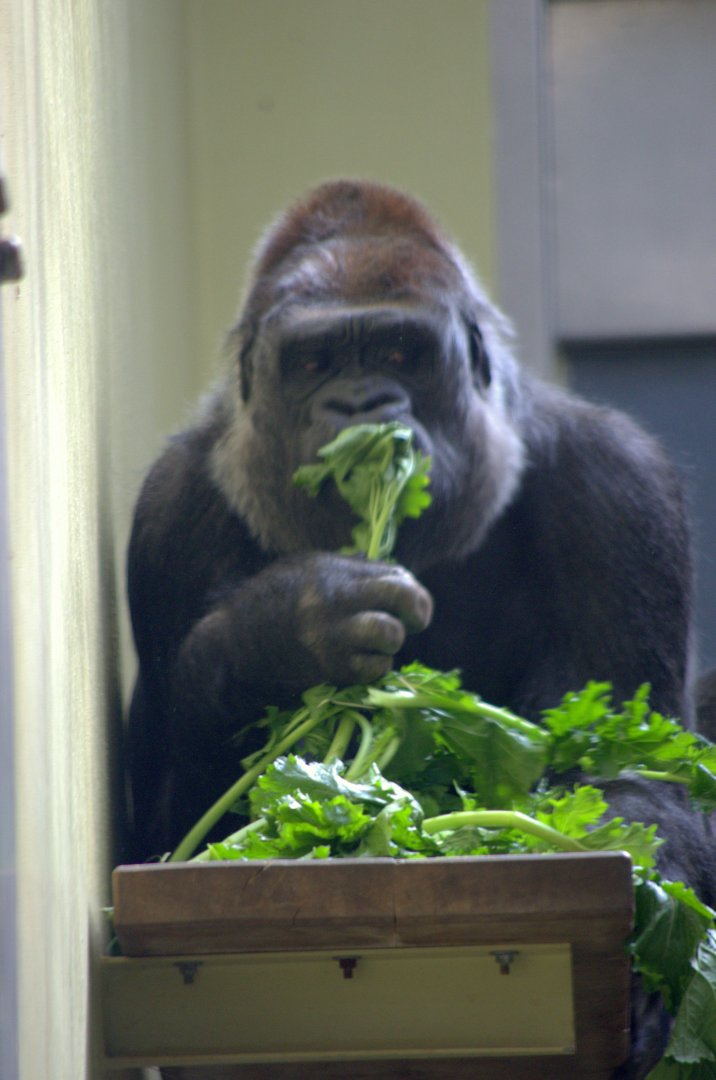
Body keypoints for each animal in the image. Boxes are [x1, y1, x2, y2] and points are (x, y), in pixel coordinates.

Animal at [125, 180, 716, 1078]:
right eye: (313, 363)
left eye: (401, 354)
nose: (360, 405)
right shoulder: (169, 508)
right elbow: (177, 837)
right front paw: (294, 626)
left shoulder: (621, 480)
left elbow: (634, 781)